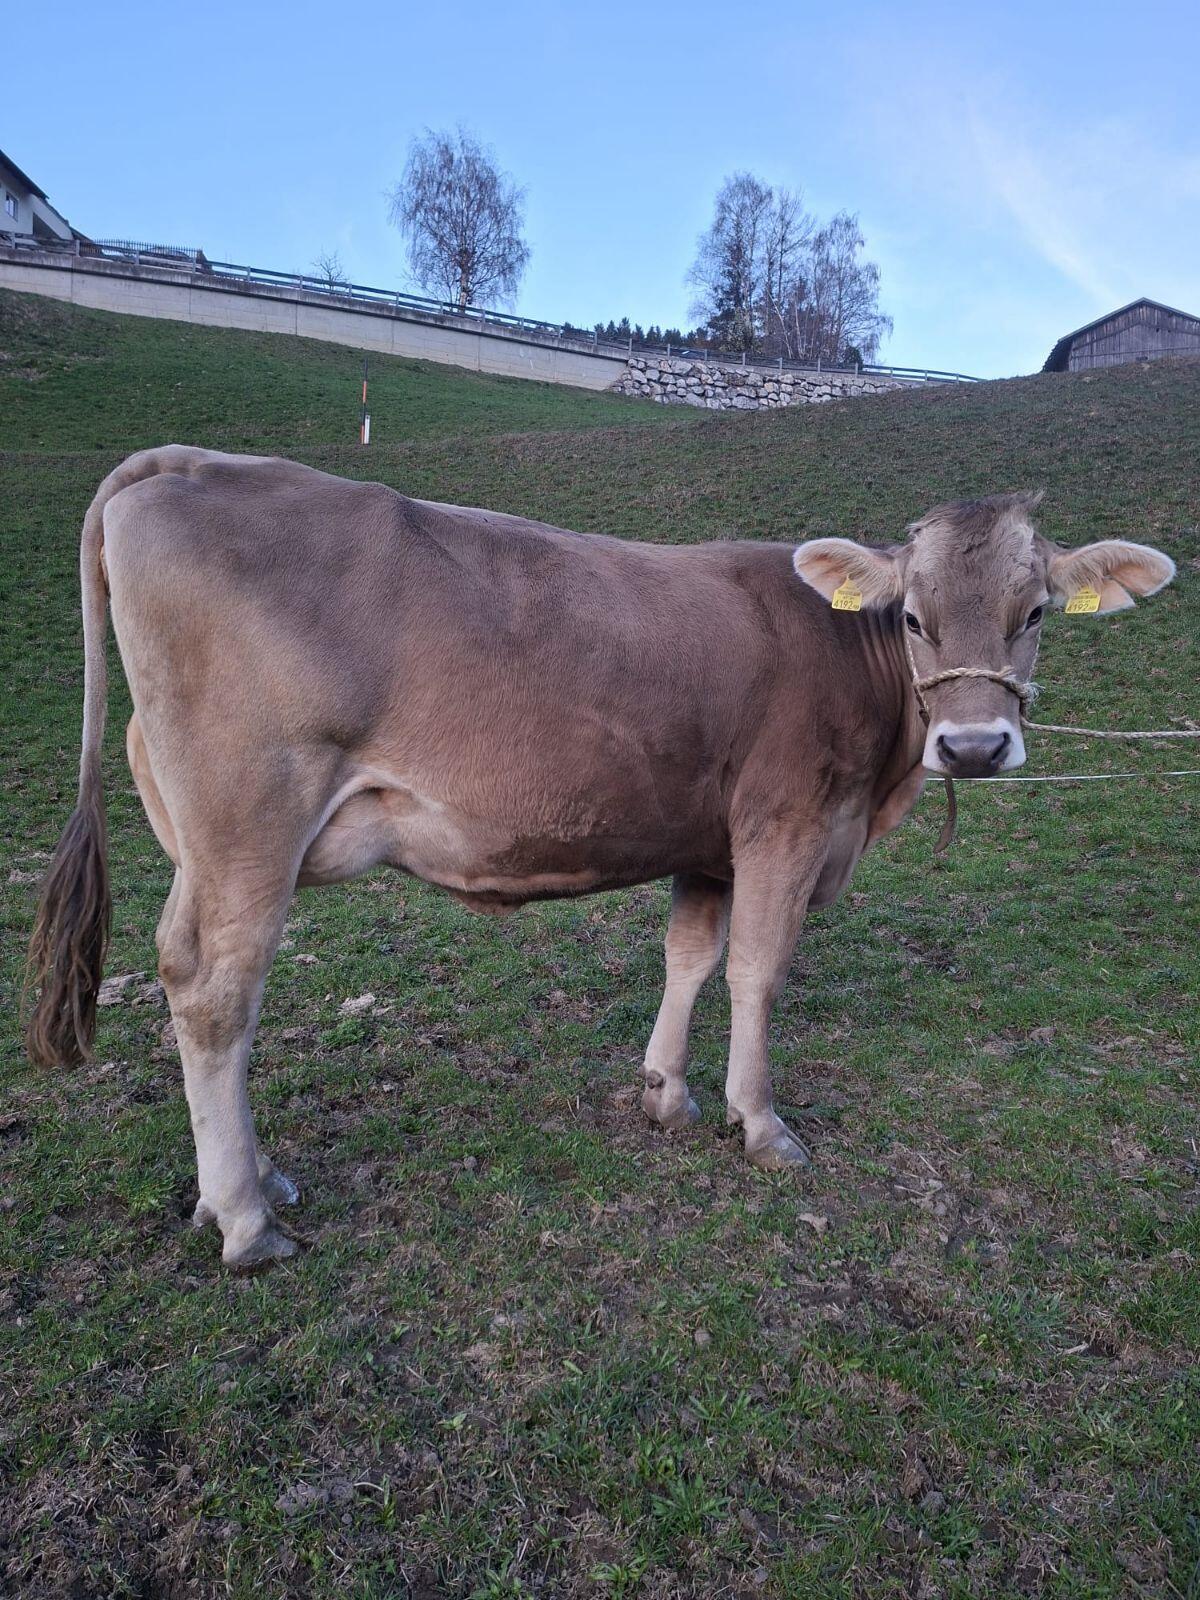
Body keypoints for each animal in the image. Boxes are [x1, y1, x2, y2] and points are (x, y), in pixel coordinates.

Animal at [26, 446, 1176, 1268]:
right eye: (914, 618)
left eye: (1035, 612)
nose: (974, 747)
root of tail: (182, 462)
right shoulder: (786, 822)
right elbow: (759, 970)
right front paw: (761, 1122)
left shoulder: (709, 838)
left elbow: (692, 957)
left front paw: (665, 1092)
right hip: (249, 814)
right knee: (216, 990)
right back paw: (246, 1218)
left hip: (194, 832)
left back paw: (259, 1178)